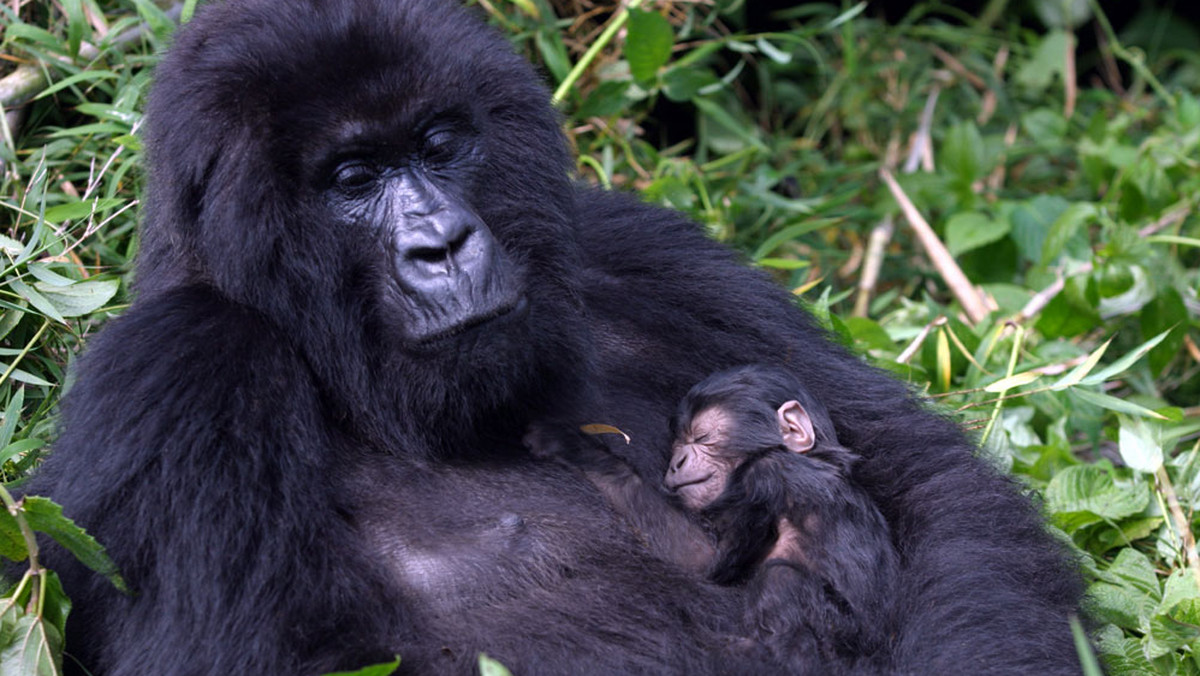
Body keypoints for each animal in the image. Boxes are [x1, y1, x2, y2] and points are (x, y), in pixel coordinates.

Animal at [535, 365, 902, 667]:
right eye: (677, 442)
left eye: (702, 437)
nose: (677, 461)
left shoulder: (763, 476)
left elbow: (704, 558)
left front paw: (574, 446)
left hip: (837, 639)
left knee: (783, 579)